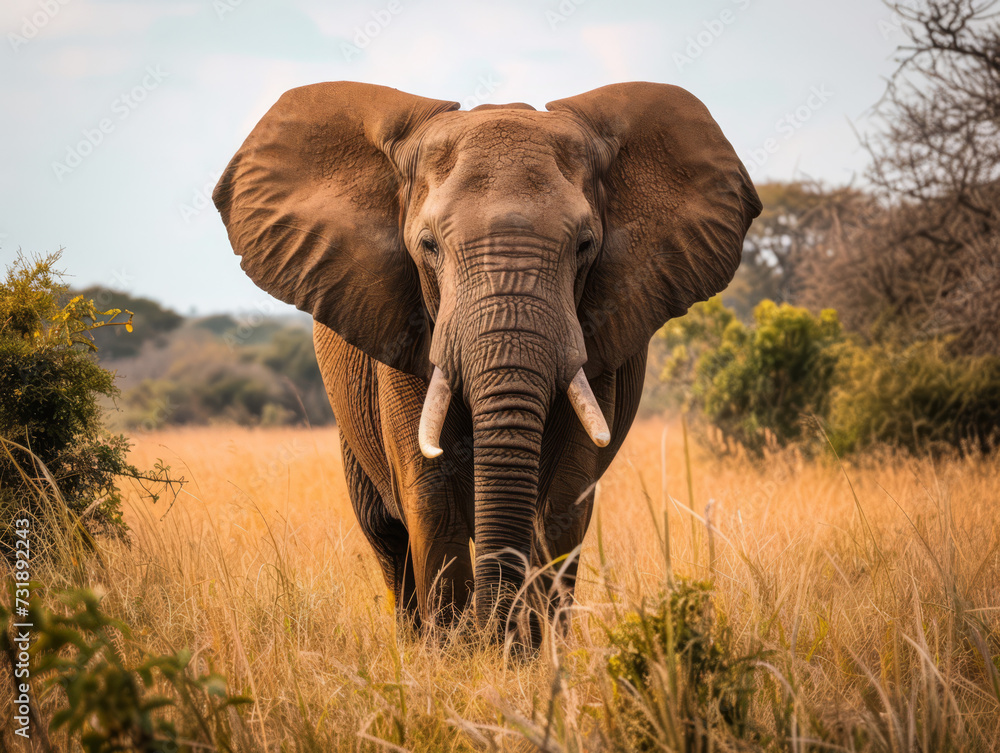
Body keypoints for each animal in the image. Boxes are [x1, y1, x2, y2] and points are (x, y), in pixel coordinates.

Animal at [213, 81, 761, 645]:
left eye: (585, 246)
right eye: (428, 246)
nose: (491, 632)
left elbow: (562, 498)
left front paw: (526, 653)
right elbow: (431, 497)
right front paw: (457, 655)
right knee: (385, 535)